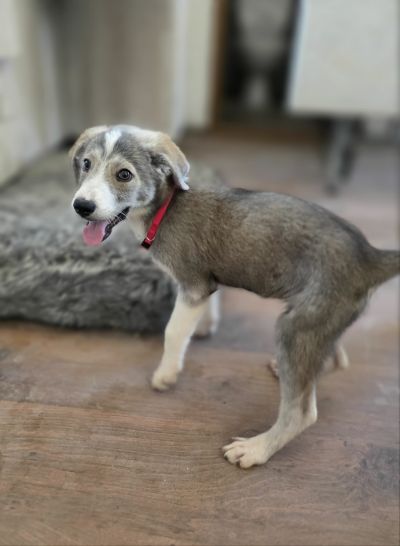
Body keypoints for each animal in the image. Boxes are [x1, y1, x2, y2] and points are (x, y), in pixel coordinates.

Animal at [70, 125, 399, 468]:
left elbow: (173, 332)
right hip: (318, 322)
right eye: (86, 164)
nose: (81, 206)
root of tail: (370, 256)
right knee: (334, 361)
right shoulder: (205, 283)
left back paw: (256, 448)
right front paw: (203, 328)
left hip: (296, 327)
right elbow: (208, 307)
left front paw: (166, 373)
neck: (166, 208)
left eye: (124, 174)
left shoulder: (192, 284)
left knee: (302, 412)